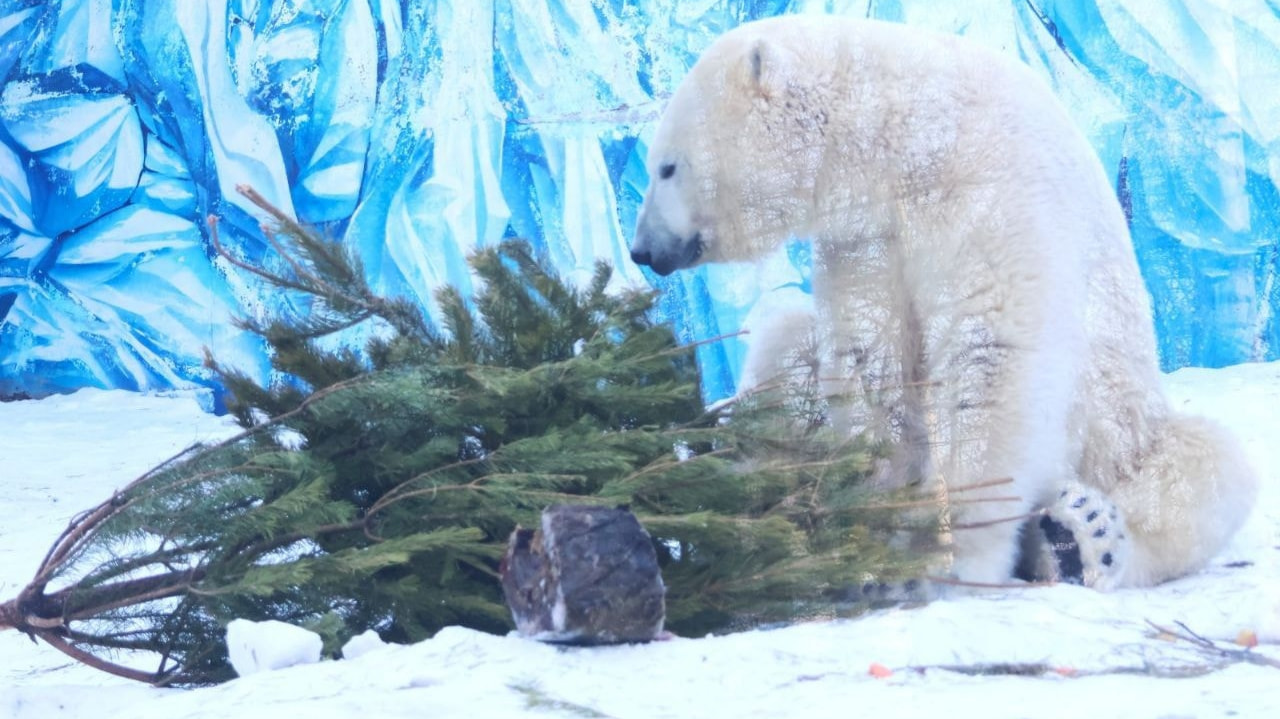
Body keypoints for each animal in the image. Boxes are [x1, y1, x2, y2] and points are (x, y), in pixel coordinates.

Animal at [632, 16, 1259, 588]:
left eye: (667, 166)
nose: (641, 249)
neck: (907, 132)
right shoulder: (867, 234)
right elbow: (871, 359)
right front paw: (883, 517)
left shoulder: (986, 187)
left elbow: (993, 355)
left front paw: (958, 553)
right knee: (786, 349)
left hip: (1122, 427)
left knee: (1203, 467)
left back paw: (1080, 537)